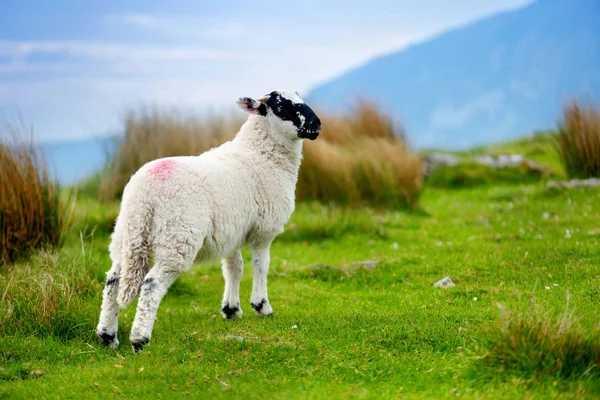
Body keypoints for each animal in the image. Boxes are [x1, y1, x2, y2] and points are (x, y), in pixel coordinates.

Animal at [97, 89, 324, 352]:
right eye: (282, 107)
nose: (317, 125)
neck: (260, 154)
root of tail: (145, 193)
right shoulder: (264, 230)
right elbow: (261, 265)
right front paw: (262, 306)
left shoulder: (232, 230)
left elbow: (234, 267)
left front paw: (231, 310)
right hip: (177, 237)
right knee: (151, 284)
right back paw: (139, 339)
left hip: (127, 234)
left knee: (113, 279)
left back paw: (108, 336)